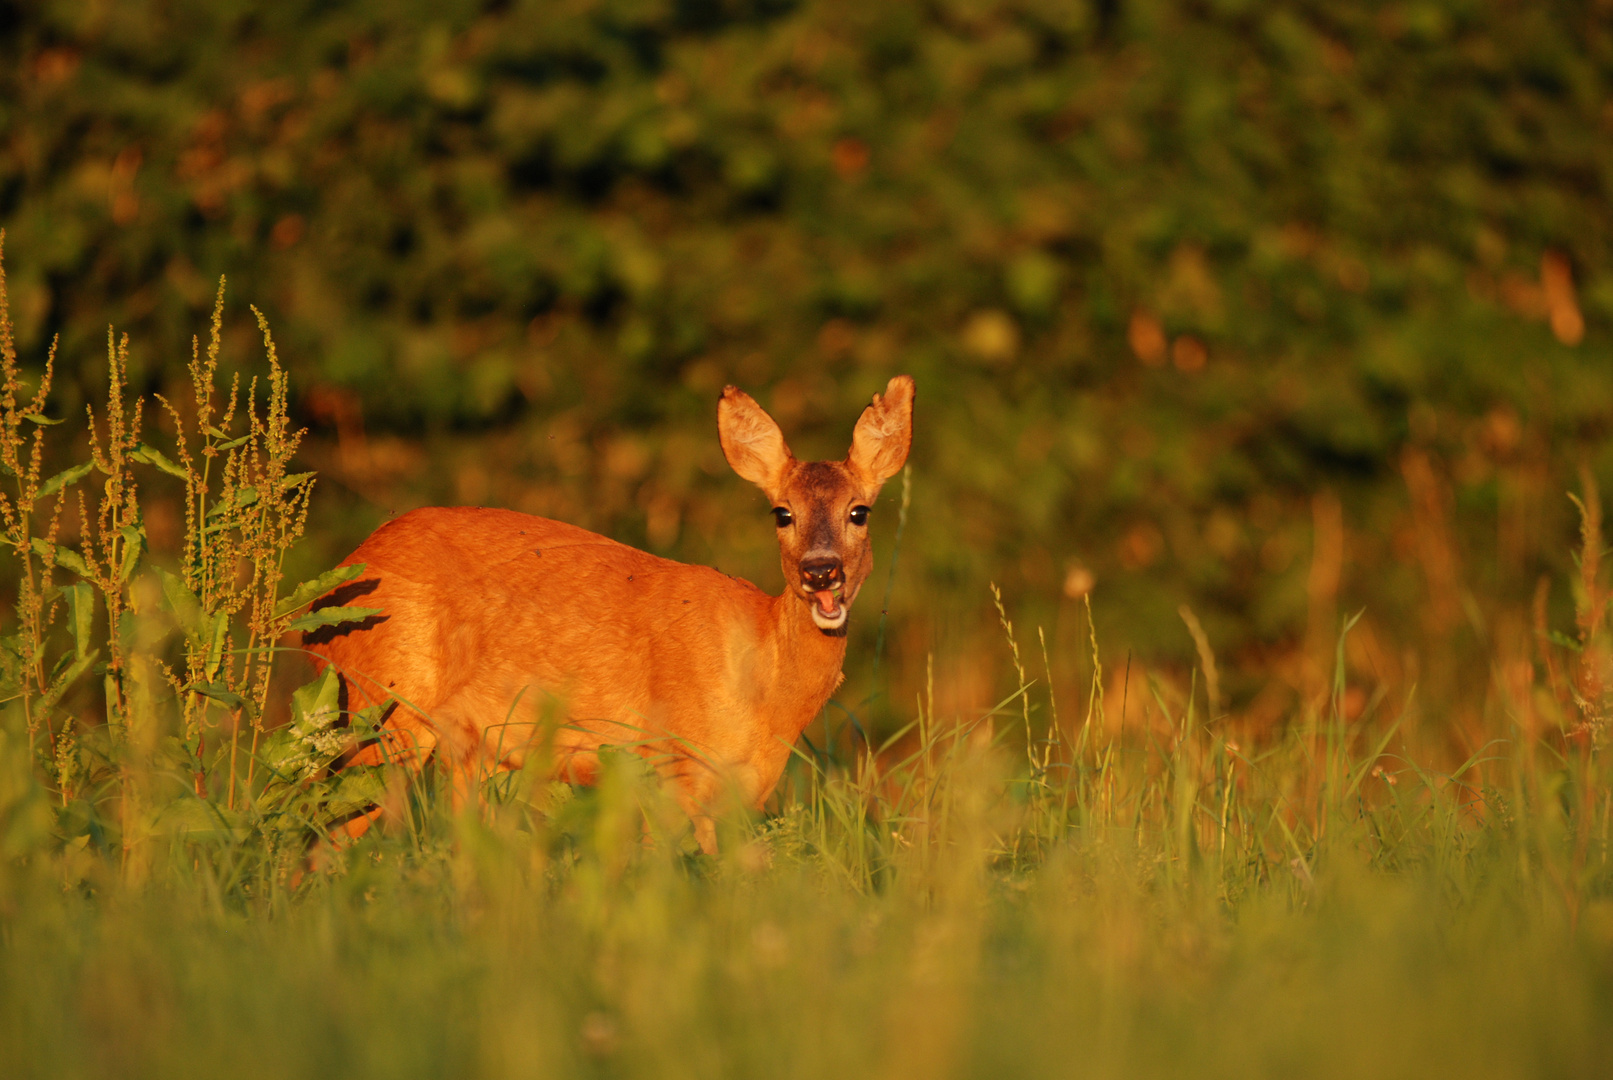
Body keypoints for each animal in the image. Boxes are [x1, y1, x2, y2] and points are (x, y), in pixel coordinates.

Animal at [308, 377, 916, 851]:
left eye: (859, 511)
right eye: (781, 513)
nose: (821, 571)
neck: (765, 682)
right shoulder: (668, 762)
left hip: (468, 747)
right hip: (382, 703)